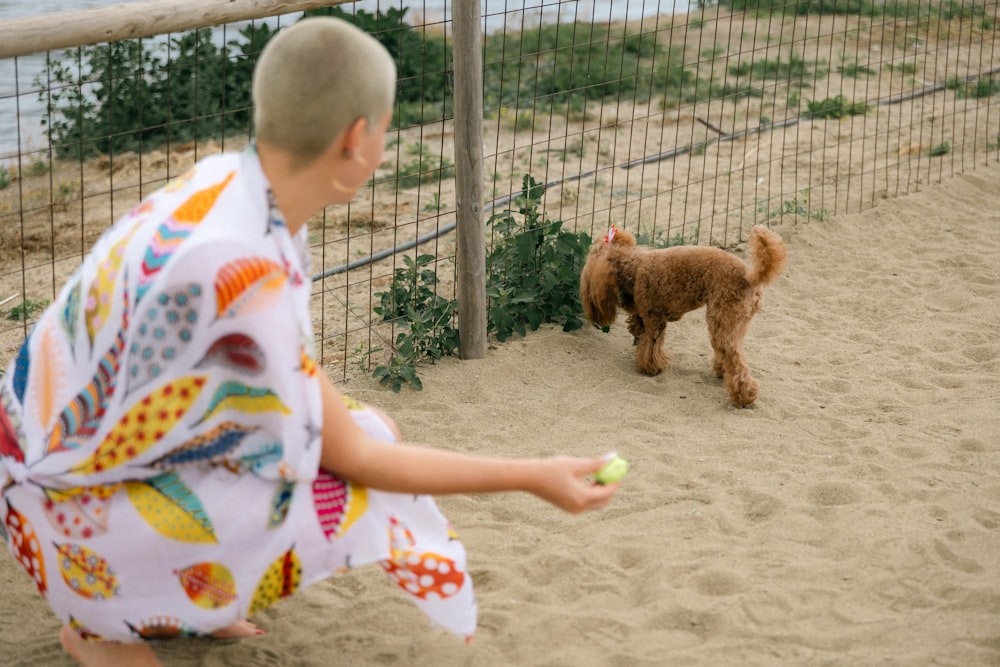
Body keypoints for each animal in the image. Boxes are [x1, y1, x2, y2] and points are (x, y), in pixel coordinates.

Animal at [584, 226, 784, 408]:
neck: (634, 266)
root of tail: (749, 277)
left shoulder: (654, 318)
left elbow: (651, 345)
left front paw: (651, 368)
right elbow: (640, 328)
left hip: (722, 319)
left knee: (736, 361)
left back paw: (743, 397)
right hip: (736, 323)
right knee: (733, 352)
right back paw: (722, 372)